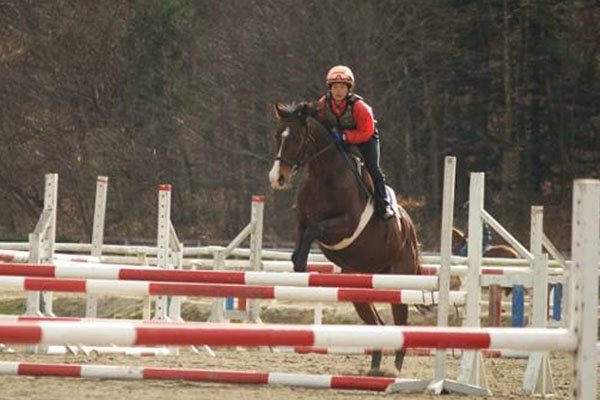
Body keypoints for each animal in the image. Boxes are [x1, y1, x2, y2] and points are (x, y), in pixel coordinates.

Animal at [268, 101, 421, 376]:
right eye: (277, 136)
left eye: (294, 138)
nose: (277, 179)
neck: (323, 175)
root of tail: (409, 228)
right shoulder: (301, 217)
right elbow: (302, 230)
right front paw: (296, 261)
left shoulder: (346, 224)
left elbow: (314, 229)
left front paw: (301, 263)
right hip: (359, 289)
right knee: (378, 325)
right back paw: (375, 367)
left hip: (398, 282)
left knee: (401, 323)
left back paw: (394, 371)